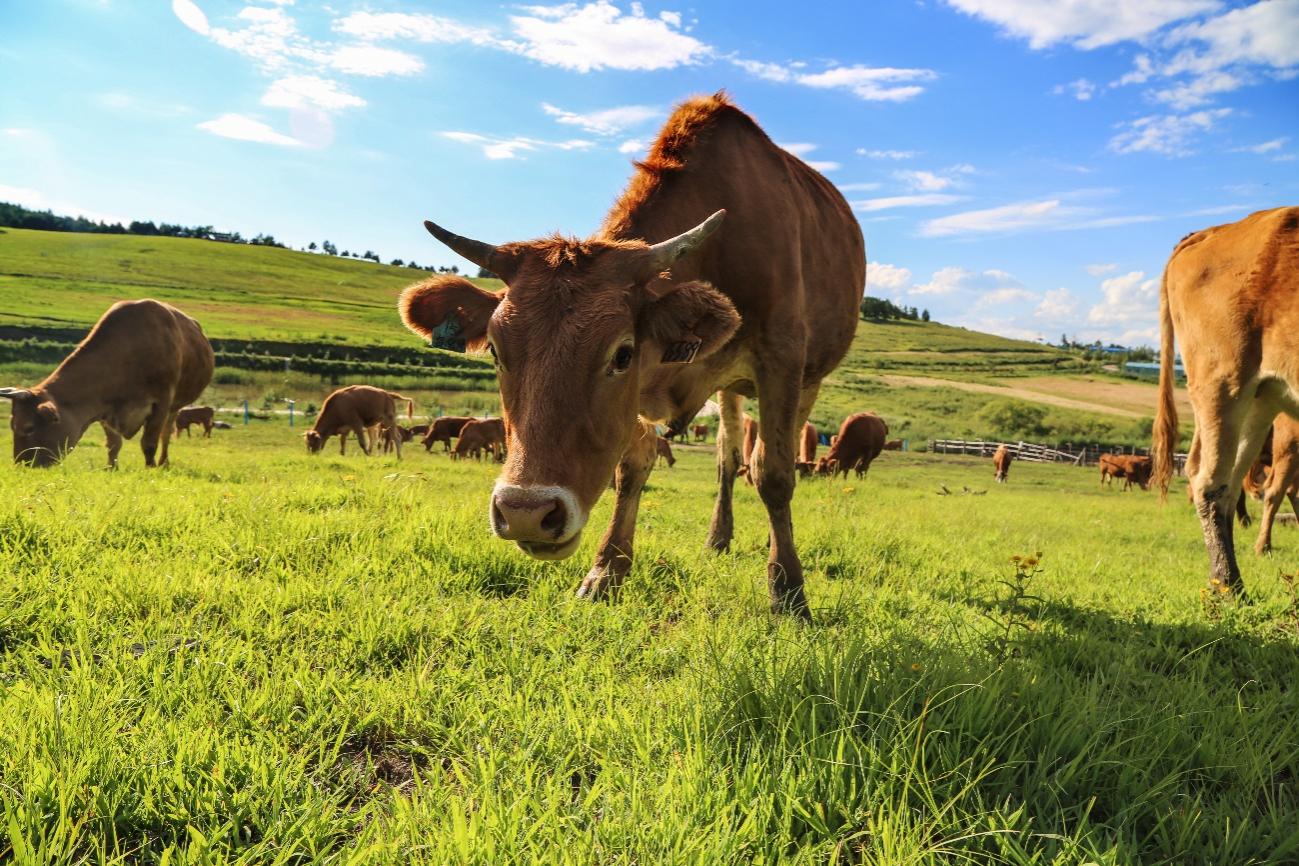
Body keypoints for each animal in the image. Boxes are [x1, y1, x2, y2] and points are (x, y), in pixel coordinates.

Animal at [1, 301, 213, 470]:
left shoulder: (161, 402)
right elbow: (113, 444)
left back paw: (163, 462)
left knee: (166, 434)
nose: (22, 464)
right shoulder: (104, 405)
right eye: (12, 426)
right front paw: (111, 468)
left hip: (175, 407)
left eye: (29, 428)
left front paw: (150, 468)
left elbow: (149, 442)